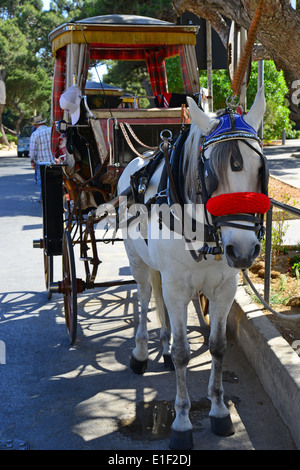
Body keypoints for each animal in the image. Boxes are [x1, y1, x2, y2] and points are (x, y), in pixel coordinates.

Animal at [117, 86, 268, 450]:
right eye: (211, 174)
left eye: (260, 169)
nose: (243, 250)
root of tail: (136, 162)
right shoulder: (175, 286)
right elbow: (185, 353)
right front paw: (182, 421)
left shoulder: (224, 289)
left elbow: (217, 346)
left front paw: (219, 410)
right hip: (138, 261)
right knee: (144, 299)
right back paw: (141, 353)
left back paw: (162, 345)